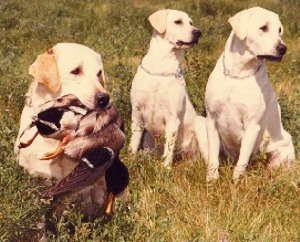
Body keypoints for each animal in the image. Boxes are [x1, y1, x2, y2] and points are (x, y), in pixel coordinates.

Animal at [129, 9, 209, 168]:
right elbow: (133, 143)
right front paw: (130, 161)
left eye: (191, 22)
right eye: (178, 21)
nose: (198, 32)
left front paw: (165, 169)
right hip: (148, 142)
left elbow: (168, 150)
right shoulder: (137, 114)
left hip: (202, 128)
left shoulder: (172, 119)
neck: (160, 68)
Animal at [205, 6, 294, 181]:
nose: (283, 48)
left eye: (279, 30)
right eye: (263, 27)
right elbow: (212, 157)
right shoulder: (211, 119)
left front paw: (236, 183)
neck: (237, 74)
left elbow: (242, 161)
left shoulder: (252, 125)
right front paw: (211, 179)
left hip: (282, 150)